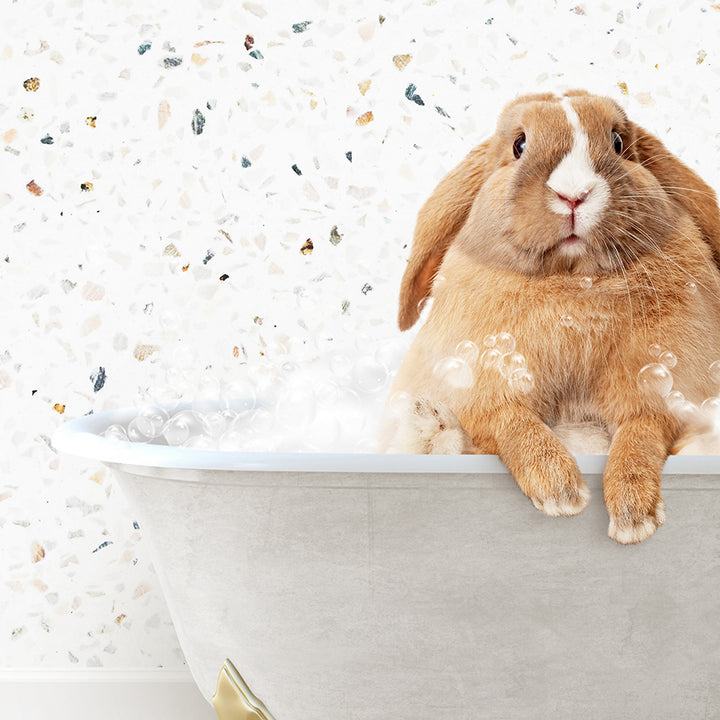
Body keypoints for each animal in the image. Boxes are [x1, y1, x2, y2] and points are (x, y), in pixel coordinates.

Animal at [386, 87, 720, 544]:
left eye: (618, 142)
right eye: (519, 145)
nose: (574, 194)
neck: (573, 283)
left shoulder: (662, 390)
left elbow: (641, 433)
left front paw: (633, 517)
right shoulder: (482, 384)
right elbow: (511, 420)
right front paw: (561, 492)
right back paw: (430, 423)